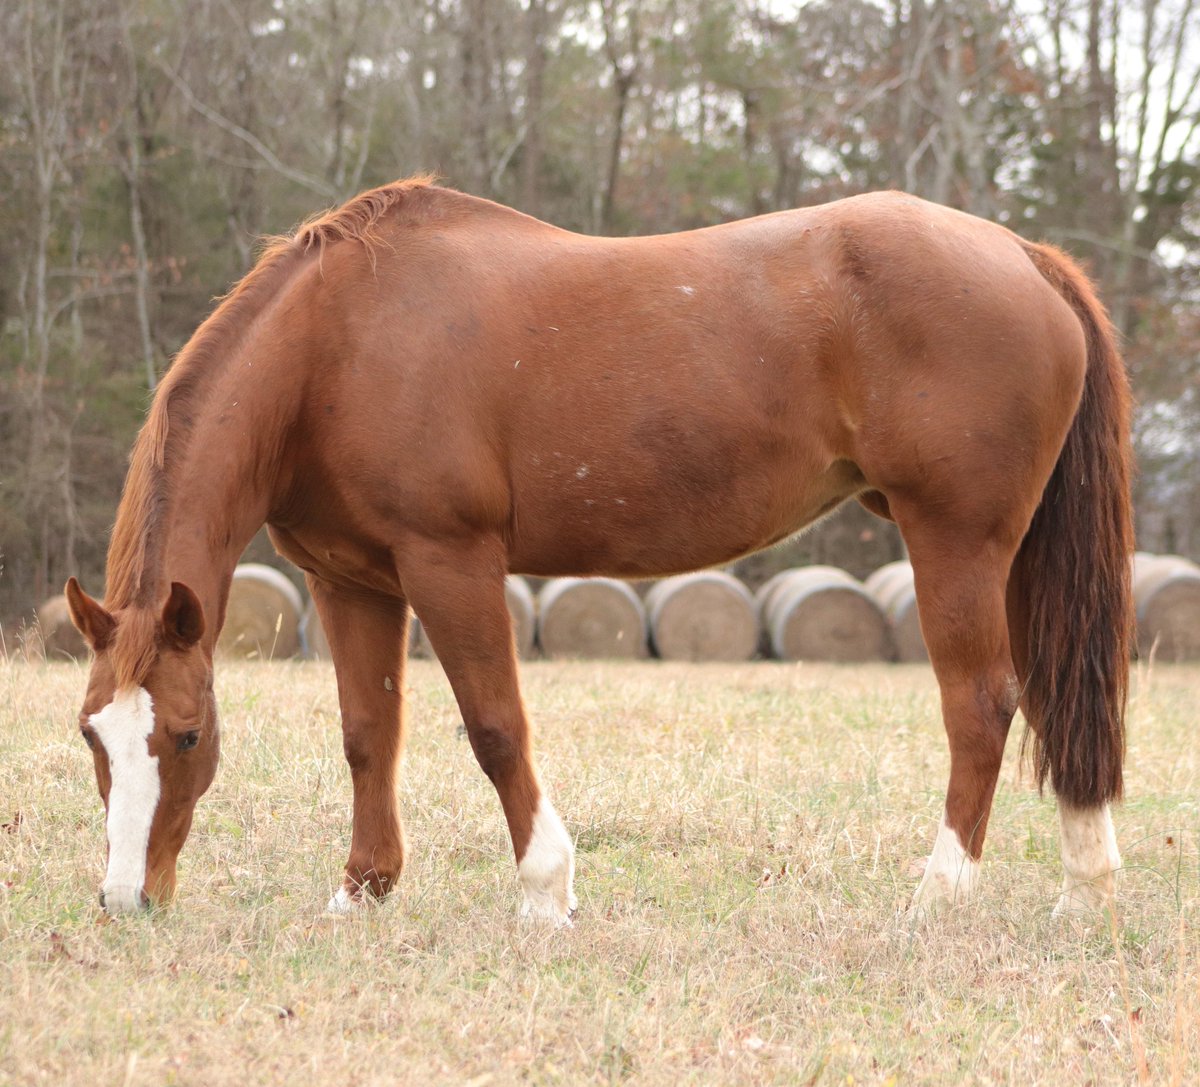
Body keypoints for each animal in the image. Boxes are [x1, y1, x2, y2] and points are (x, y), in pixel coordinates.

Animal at [65, 177, 1133, 922]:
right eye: (91, 736)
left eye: (187, 736)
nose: (127, 900)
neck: (339, 346)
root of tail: (1025, 256)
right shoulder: (348, 580)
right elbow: (369, 735)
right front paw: (362, 890)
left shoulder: (450, 562)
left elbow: (496, 727)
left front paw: (546, 890)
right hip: (1016, 553)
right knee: (1053, 698)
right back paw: (1084, 887)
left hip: (957, 541)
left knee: (981, 705)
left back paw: (939, 894)